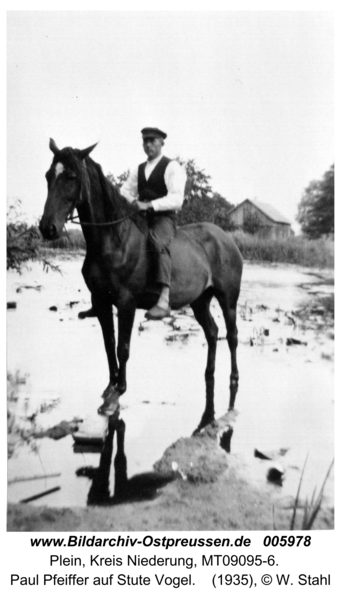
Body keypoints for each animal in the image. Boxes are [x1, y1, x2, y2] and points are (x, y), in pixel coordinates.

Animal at [39, 139, 242, 432]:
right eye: (48, 176)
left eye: (71, 177)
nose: (48, 228)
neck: (114, 240)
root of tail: (227, 239)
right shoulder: (102, 302)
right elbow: (108, 343)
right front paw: (110, 387)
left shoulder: (126, 303)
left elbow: (122, 348)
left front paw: (119, 391)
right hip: (199, 301)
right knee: (212, 332)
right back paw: (209, 373)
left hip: (228, 299)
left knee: (233, 336)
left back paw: (234, 378)